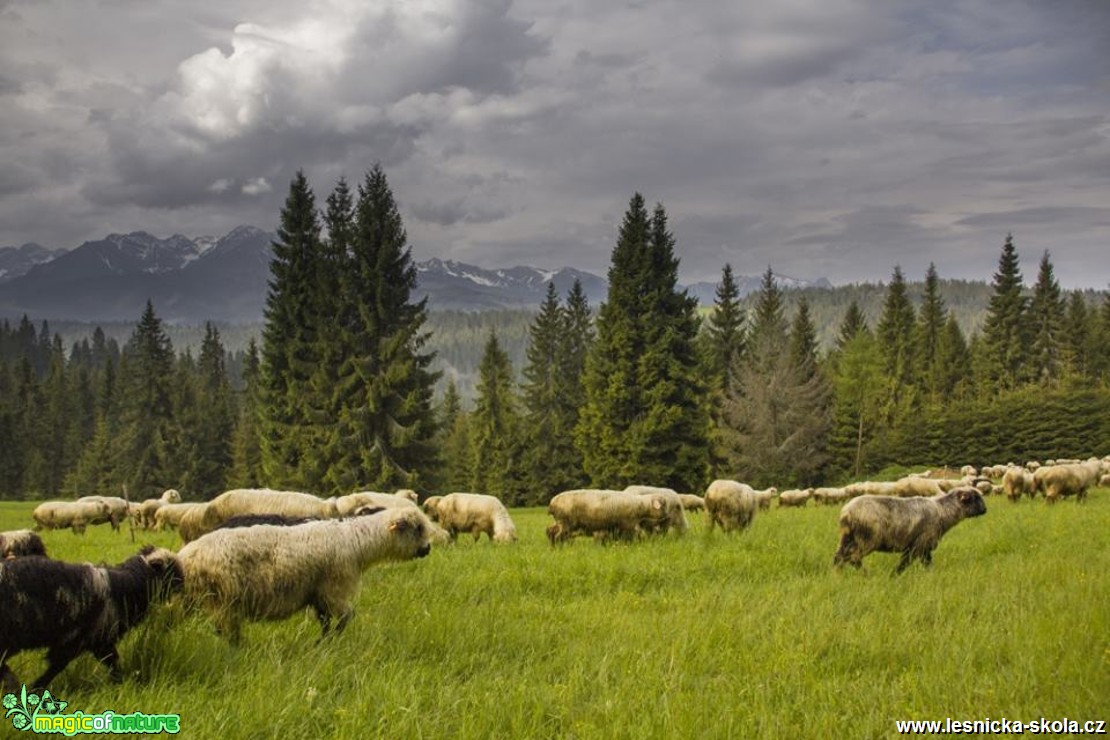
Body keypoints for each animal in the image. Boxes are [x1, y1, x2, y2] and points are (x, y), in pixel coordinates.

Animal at [0, 543, 182, 696]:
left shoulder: (98, 642)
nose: (183, 584)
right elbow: (57, 666)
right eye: (171, 568)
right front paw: (35, 688)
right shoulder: (82, 640)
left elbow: (112, 662)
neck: (127, 585)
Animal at [177, 505, 432, 639]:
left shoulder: (318, 595)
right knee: (226, 632)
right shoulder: (333, 590)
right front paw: (331, 642)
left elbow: (326, 622)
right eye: (418, 528)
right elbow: (345, 618)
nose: (427, 549)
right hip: (222, 599)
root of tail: (186, 556)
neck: (356, 540)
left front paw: (323, 644)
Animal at [834, 488, 990, 576]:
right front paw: (895, 575)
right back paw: (865, 574)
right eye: (975, 498)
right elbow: (906, 562)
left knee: (839, 557)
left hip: (847, 538)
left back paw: (837, 576)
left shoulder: (922, 546)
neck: (943, 511)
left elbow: (927, 562)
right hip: (867, 539)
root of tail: (846, 512)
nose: (985, 510)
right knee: (853, 557)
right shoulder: (920, 542)